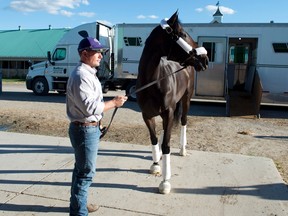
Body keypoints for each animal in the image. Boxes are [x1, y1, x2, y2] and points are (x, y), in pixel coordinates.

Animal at [136, 11, 208, 194]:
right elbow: (154, 139)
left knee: (183, 121)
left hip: (186, 100)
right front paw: (156, 164)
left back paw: (182, 149)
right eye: (183, 34)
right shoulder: (146, 115)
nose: (205, 59)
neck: (153, 81)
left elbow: (167, 145)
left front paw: (165, 181)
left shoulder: (168, 112)